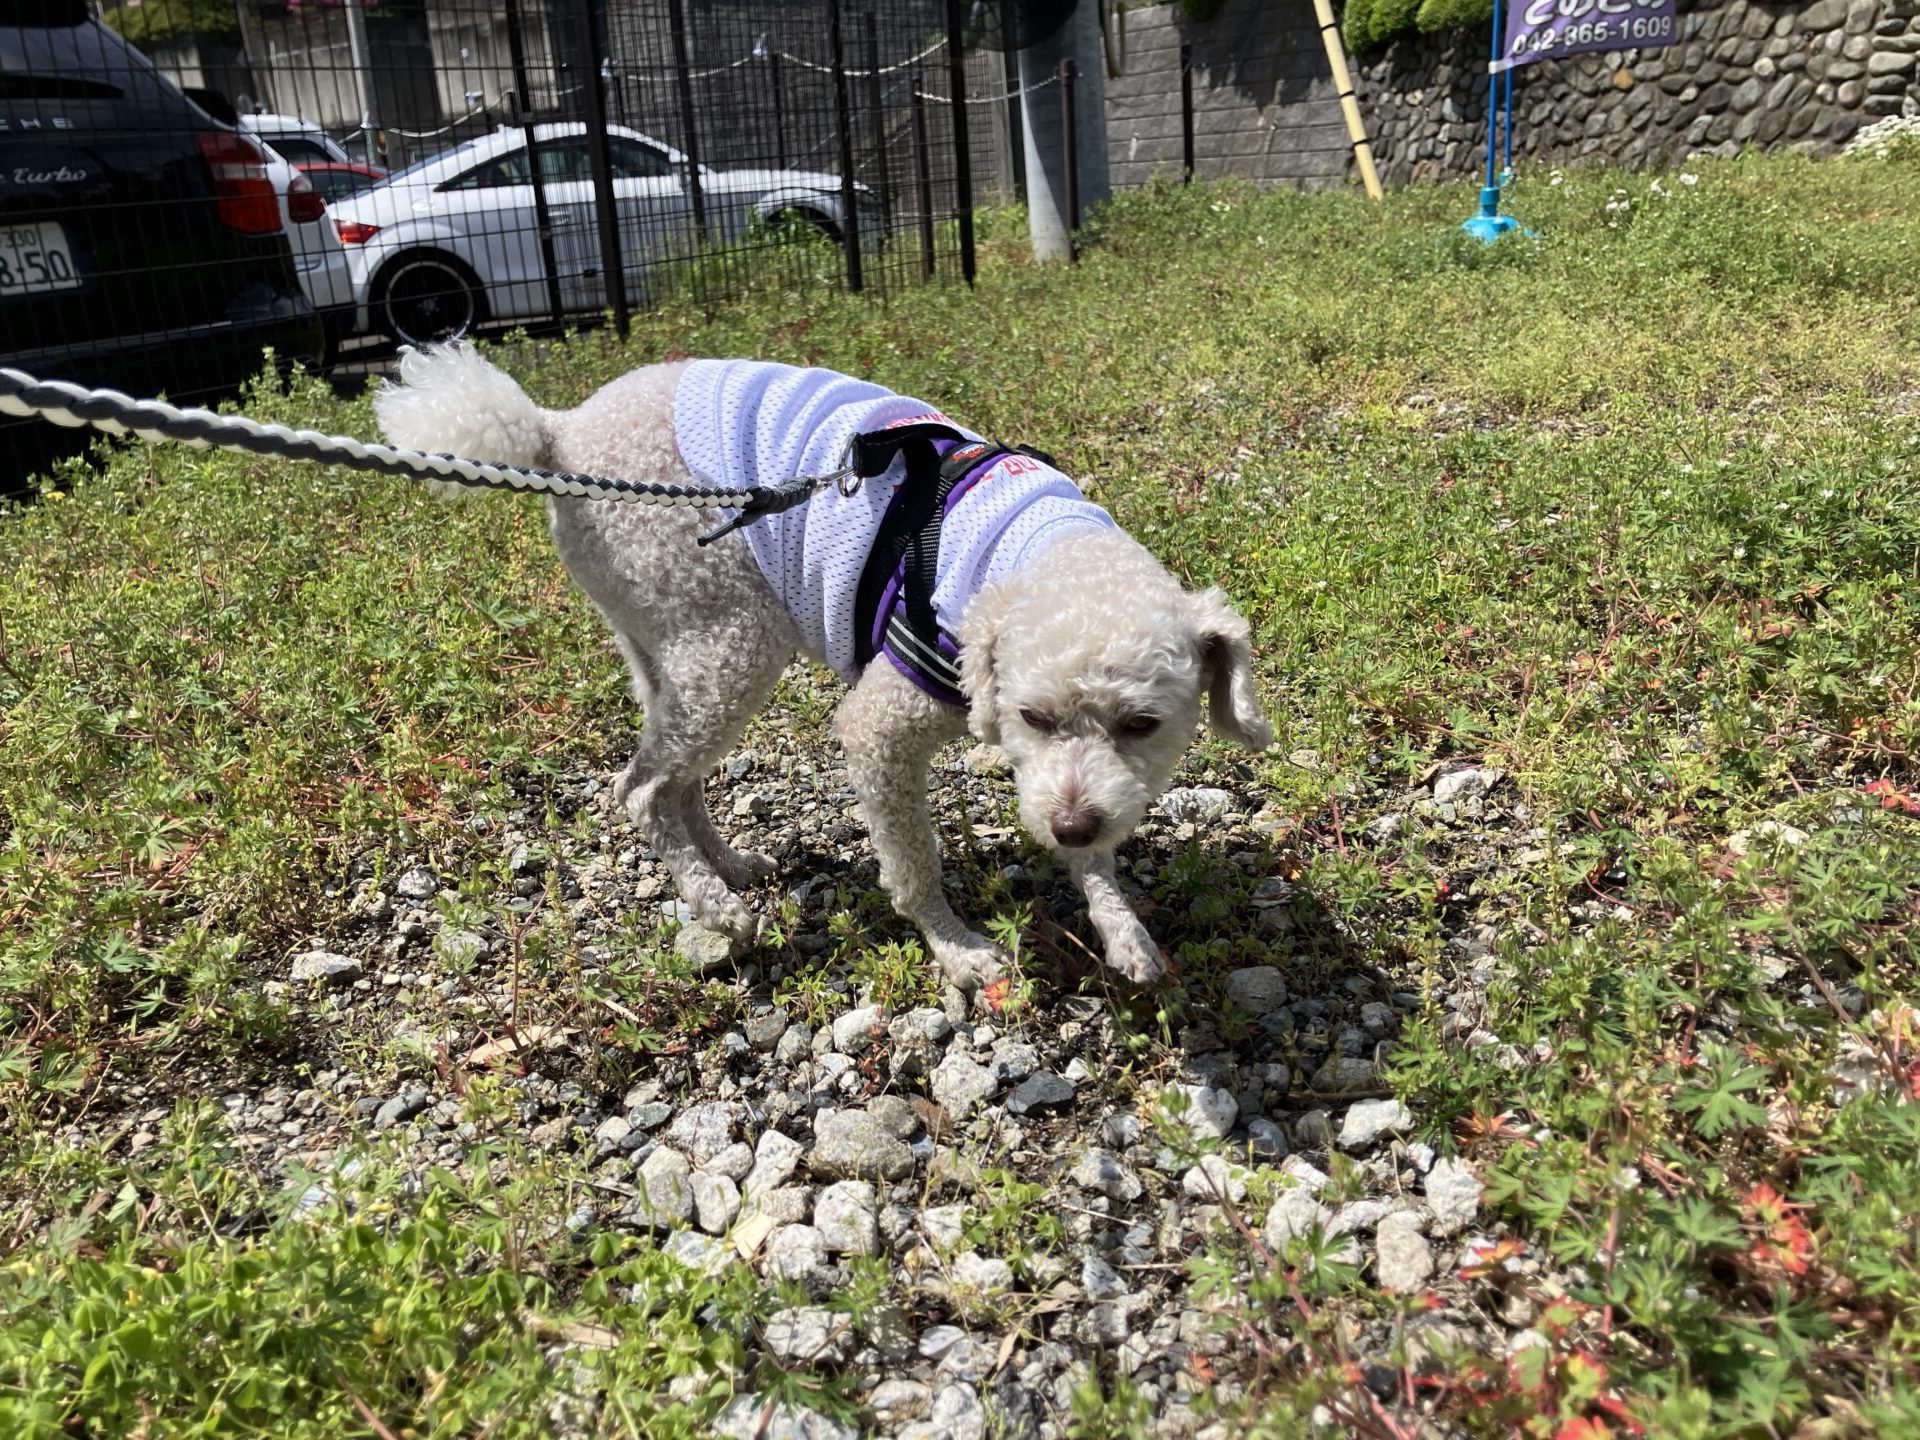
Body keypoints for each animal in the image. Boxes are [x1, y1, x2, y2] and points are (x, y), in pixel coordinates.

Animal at [375, 346, 1272, 991]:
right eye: (1034, 715)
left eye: (1143, 725)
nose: (1072, 827)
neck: (1038, 545)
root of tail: (555, 431)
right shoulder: (885, 724)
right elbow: (912, 864)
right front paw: (957, 950)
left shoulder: (1066, 778)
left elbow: (1088, 832)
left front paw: (1120, 924)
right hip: (729, 635)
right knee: (640, 791)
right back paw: (718, 909)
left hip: (668, 644)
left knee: (674, 777)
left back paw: (730, 868)